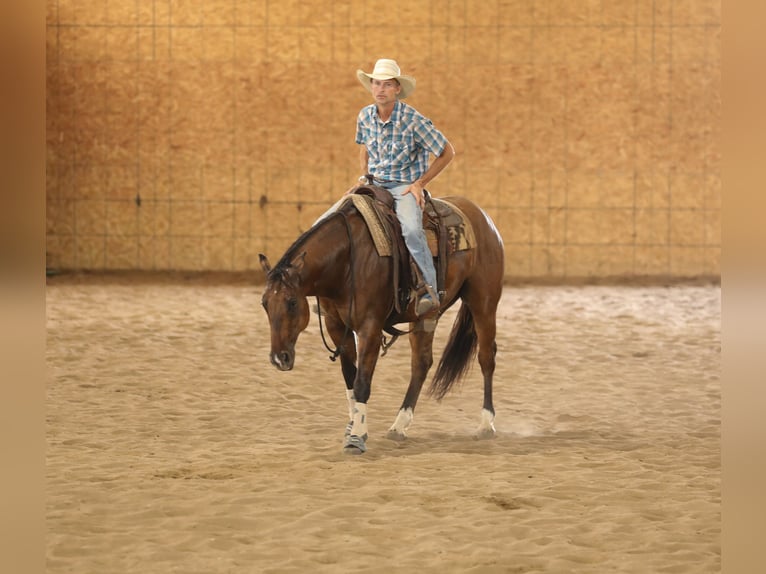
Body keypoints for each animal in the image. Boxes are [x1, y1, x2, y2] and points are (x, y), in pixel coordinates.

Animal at [258, 193, 504, 455]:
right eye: (264, 303)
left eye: (292, 302)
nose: (279, 358)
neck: (346, 261)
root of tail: (483, 217)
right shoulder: (337, 326)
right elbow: (350, 378)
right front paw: (354, 426)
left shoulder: (370, 328)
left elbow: (362, 382)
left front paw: (356, 437)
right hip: (425, 317)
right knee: (421, 363)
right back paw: (399, 425)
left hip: (484, 303)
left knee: (486, 357)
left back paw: (486, 424)